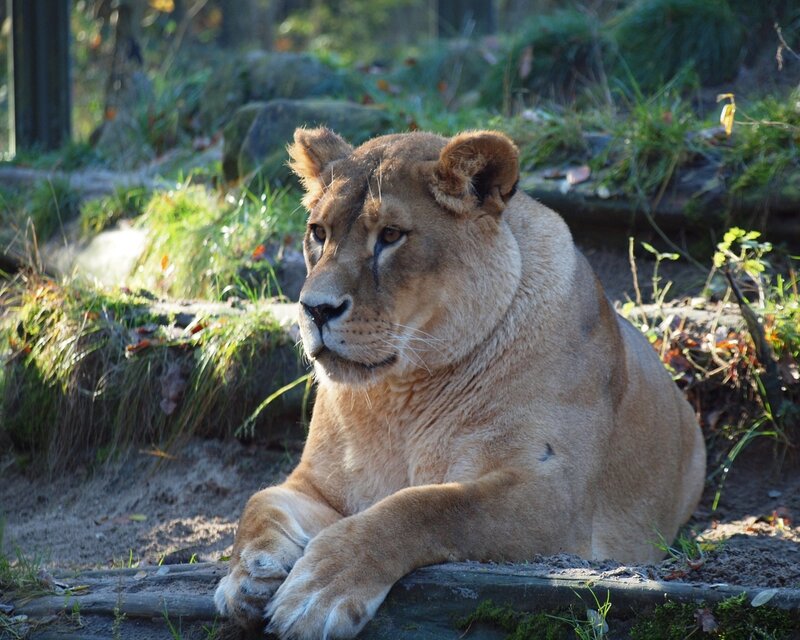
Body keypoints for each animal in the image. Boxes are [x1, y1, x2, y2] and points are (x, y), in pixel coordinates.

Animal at [214, 128, 707, 639]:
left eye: (391, 235)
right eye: (318, 233)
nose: (314, 309)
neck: (399, 396)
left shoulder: (557, 497)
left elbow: (428, 506)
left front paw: (320, 589)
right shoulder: (319, 487)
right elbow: (258, 500)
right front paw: (248, 575)